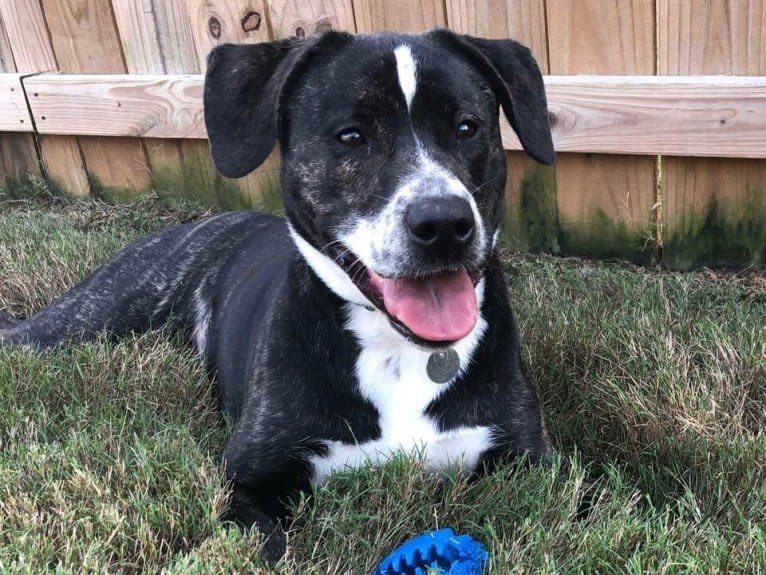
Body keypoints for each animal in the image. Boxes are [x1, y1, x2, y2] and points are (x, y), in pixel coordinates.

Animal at [0, 28, 560, 560]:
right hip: (89, 317)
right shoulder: (245, 479)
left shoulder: (535, 464)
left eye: (467, 127)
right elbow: (264, 543)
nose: (443, 223)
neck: (399, 350)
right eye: (351, 136)